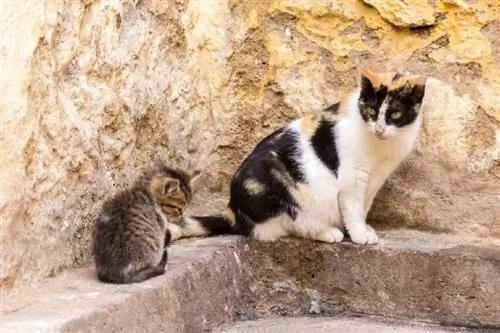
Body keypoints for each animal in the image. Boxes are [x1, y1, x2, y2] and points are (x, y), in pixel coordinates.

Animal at [168, 68, 426, 244]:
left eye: (395, 114)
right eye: (371, 111)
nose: (380, 129)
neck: (381, 148)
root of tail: (233, 210)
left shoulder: (375, 179)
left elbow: (363, 206)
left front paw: (362, 229)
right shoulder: (353, 179)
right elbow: (353, 207)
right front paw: (360, 234)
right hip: (274, 182)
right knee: (289, 224)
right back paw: (328, 232)